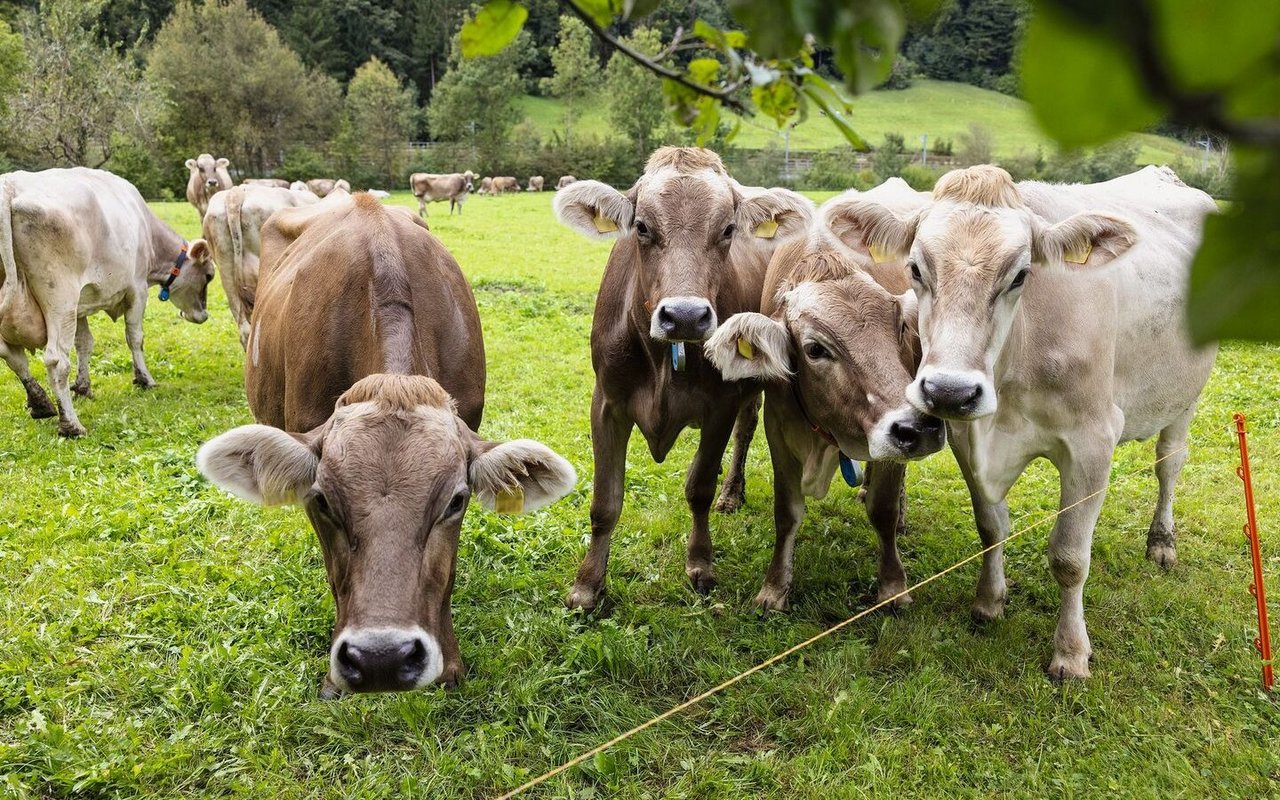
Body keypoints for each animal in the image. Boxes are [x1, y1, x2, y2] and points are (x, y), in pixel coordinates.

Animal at [555, 146, 814, 609]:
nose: (686, 316)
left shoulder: (721, 405)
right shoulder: (606, 402)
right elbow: (605, 501)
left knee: (746, 428)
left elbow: (699, 488)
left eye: (728, 229)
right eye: (641, 227)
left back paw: (731, 492)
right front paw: (587, 584)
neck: (663, 360)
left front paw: (700, 564)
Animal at [706, 176, 947, 611]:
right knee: (743, 426)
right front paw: (774, 588)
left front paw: (893, 585)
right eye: (815, 349)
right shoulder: (780, 428)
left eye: (901, 328)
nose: (918, 430)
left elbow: (883, 510)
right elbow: (786, 512)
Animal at [829, 165, 1218, 675]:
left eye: (1020, 275)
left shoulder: (1093, 440)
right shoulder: (967, 436)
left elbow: (1070, 556)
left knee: (1169, 463)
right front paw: (989, 601)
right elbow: (991, 527)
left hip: (1185, 395)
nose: (949, 390)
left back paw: (1162, 542)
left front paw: (1070, 652)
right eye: (914, 268)